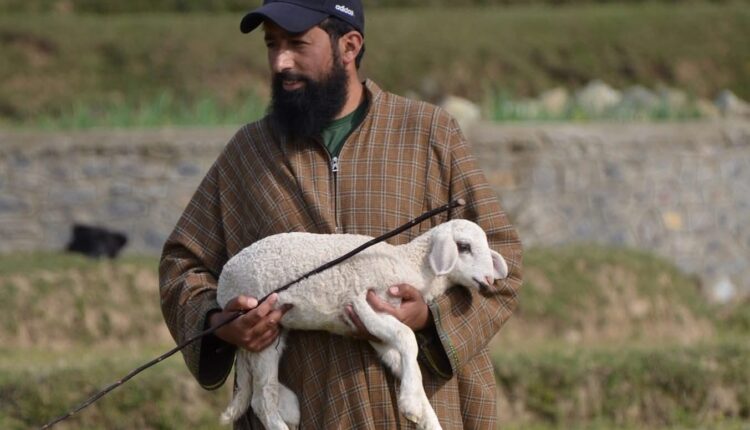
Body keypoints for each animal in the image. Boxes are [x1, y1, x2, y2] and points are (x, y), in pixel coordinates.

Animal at [216, 219, 509, 430]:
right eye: (463, 247)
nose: (488, 281)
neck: (410, 265)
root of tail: (222, 284)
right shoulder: (364, 304)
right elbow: (408, 338)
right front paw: (410, 405)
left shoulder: (375, 332)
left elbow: (405, 357)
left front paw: (423, 413)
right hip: (256, 323)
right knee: (262, 400)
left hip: (273, 329)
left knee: (261, 391)